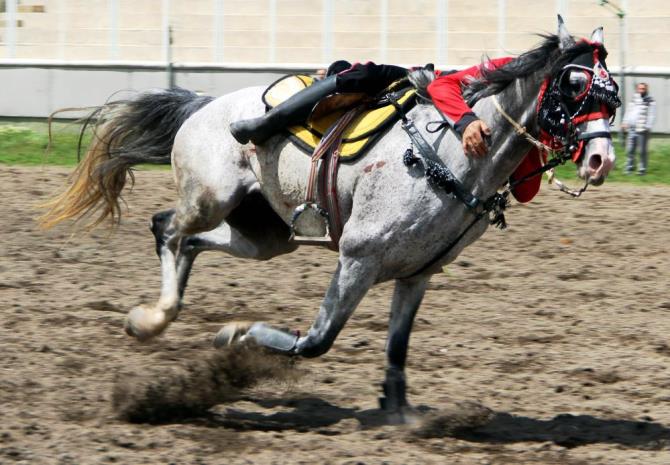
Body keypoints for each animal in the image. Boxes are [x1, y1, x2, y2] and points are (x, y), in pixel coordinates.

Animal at [42, 16, 620, 418]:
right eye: (574, 84)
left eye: (612, 96)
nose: (601, 159)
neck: (455, 154)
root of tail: (202, 104)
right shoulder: (359, 258)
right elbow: (316, 340)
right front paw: (236, 337)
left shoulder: (416, 274)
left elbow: (396, 349)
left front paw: (402, 415)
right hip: (212, 198)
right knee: (167, 227)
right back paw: (154, 314)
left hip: (264, 235)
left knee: (188, 240)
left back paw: (157, 316)